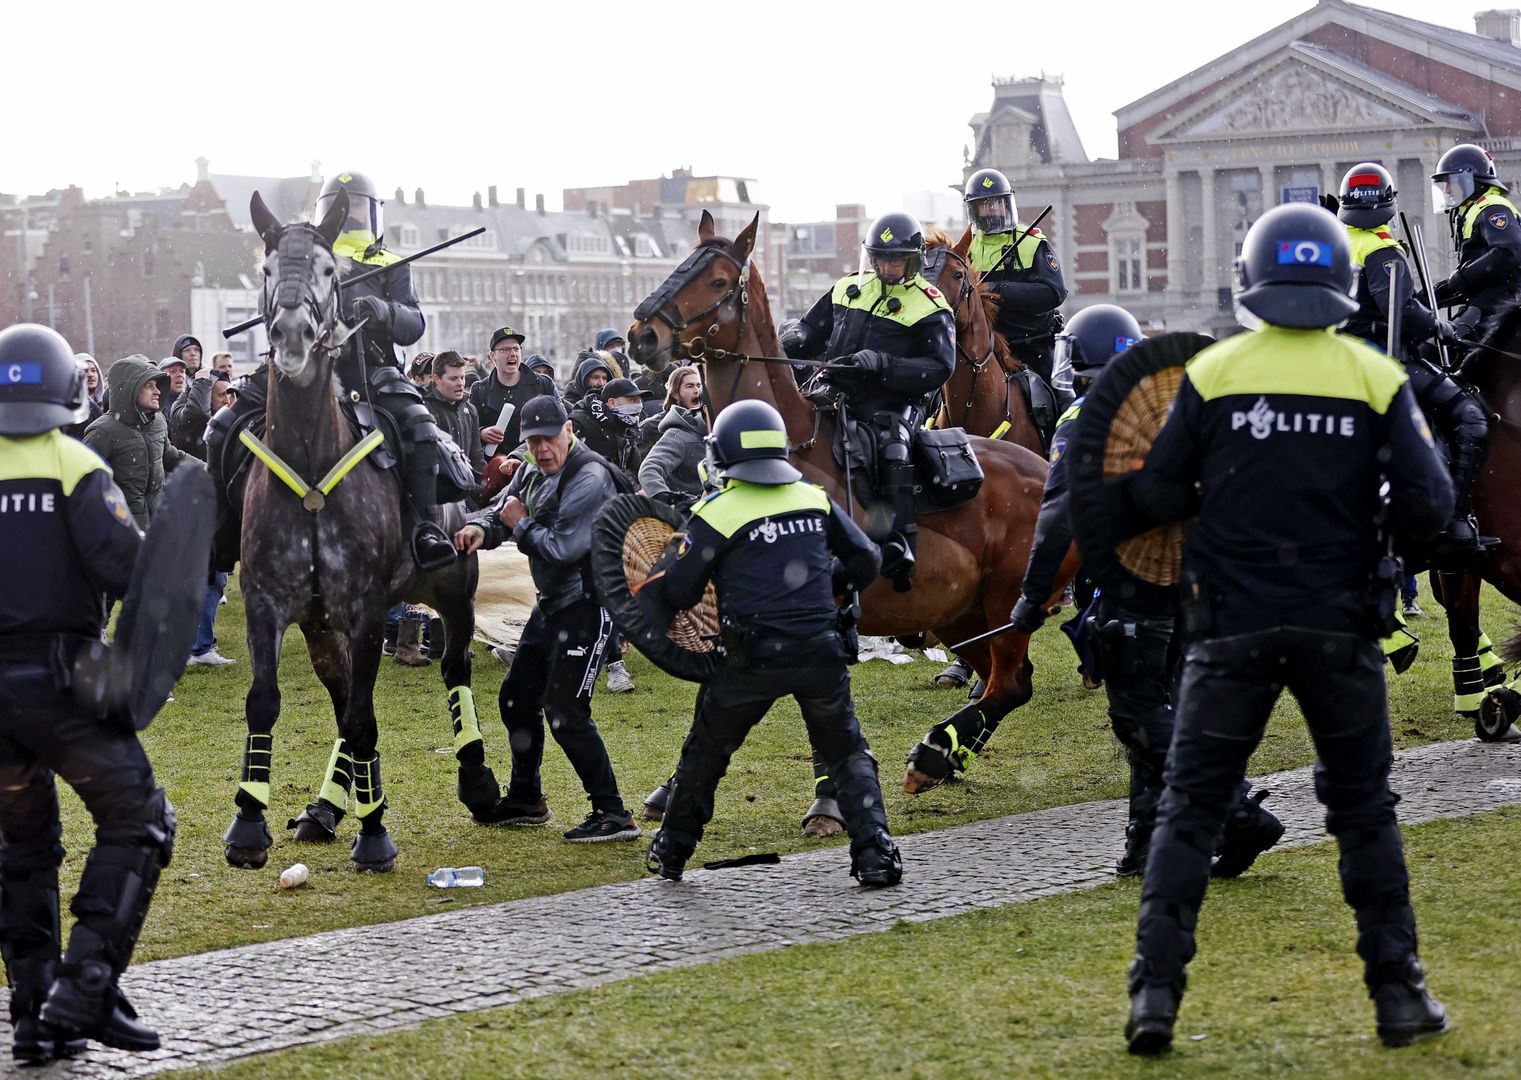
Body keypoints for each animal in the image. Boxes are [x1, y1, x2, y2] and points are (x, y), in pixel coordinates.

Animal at [222, 192, 492, 870]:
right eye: (267, 269)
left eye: (328, 271)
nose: (292, 335)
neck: (312, 457)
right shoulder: (269, 605)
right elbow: (272, 702)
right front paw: (249, 823)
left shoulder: (367, 609)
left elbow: (365, 718)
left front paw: (374, 834)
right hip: (322, 626)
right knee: (345, 698)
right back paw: (326, 808)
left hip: (453, 591)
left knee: (453, 668)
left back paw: (478, 781)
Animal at [623, 212, 1076, 797]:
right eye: (680, 266)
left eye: (719, 281)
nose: (642, 335)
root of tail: (1049, 472)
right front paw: (673, 787)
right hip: (959, 614)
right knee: (1002, 681)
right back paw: (946, 754)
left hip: (1005, 604)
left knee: (1011, 683)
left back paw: (934, 752)